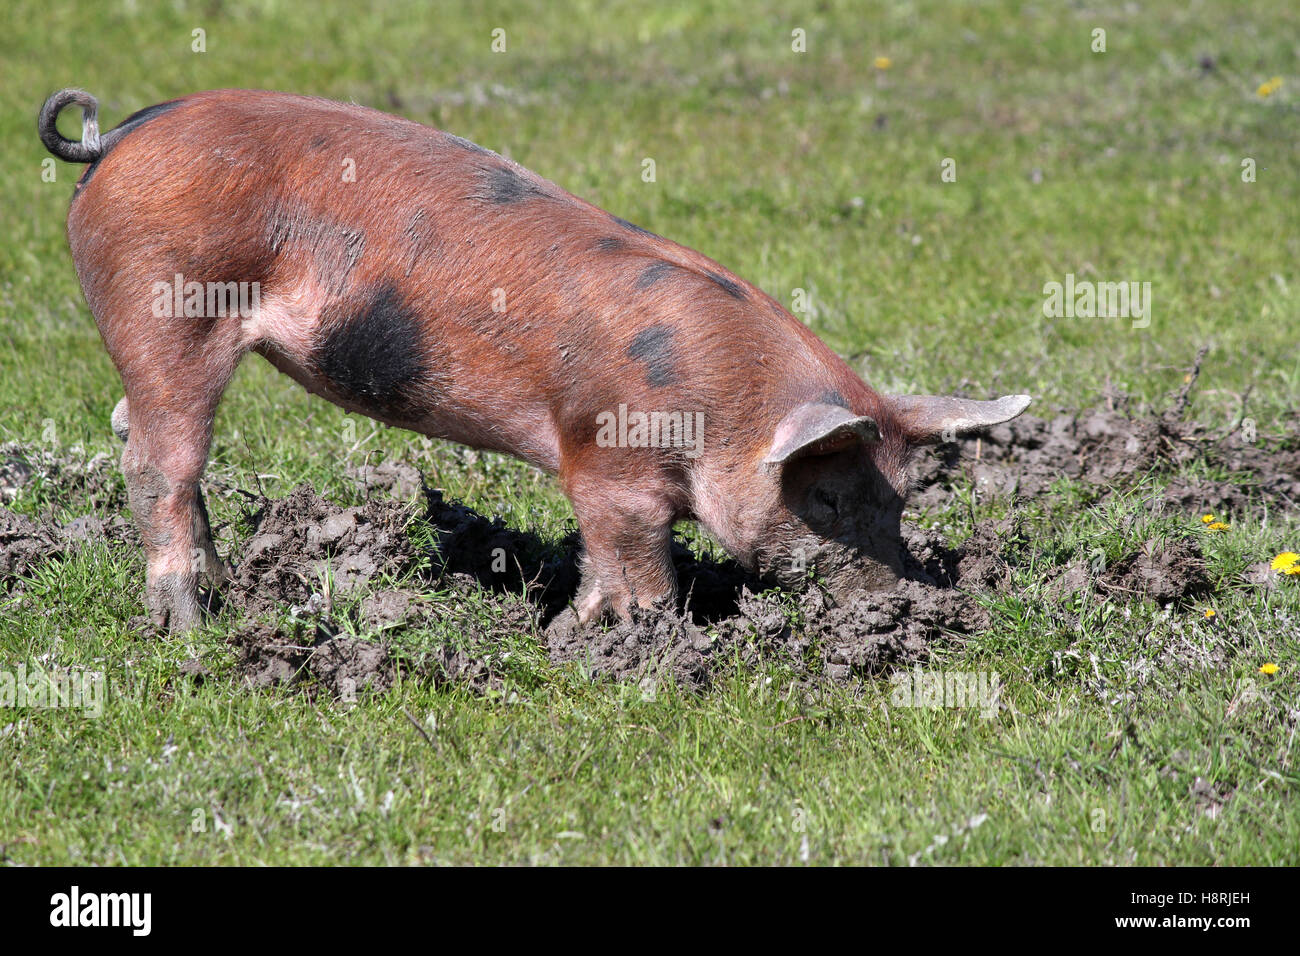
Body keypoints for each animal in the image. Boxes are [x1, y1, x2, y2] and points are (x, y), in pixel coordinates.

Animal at [40, 87, 1029, 629]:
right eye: (823, 498)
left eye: (898, 501)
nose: (899, 600)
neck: (724, 404)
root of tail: (117, 136)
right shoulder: (605, 458)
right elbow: (637, 561)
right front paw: (624, 643)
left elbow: (607, 559)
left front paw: (575, 631)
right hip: (166, 304)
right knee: (158, 460)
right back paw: (193, 628)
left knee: (131, 424)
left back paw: (218, 590)